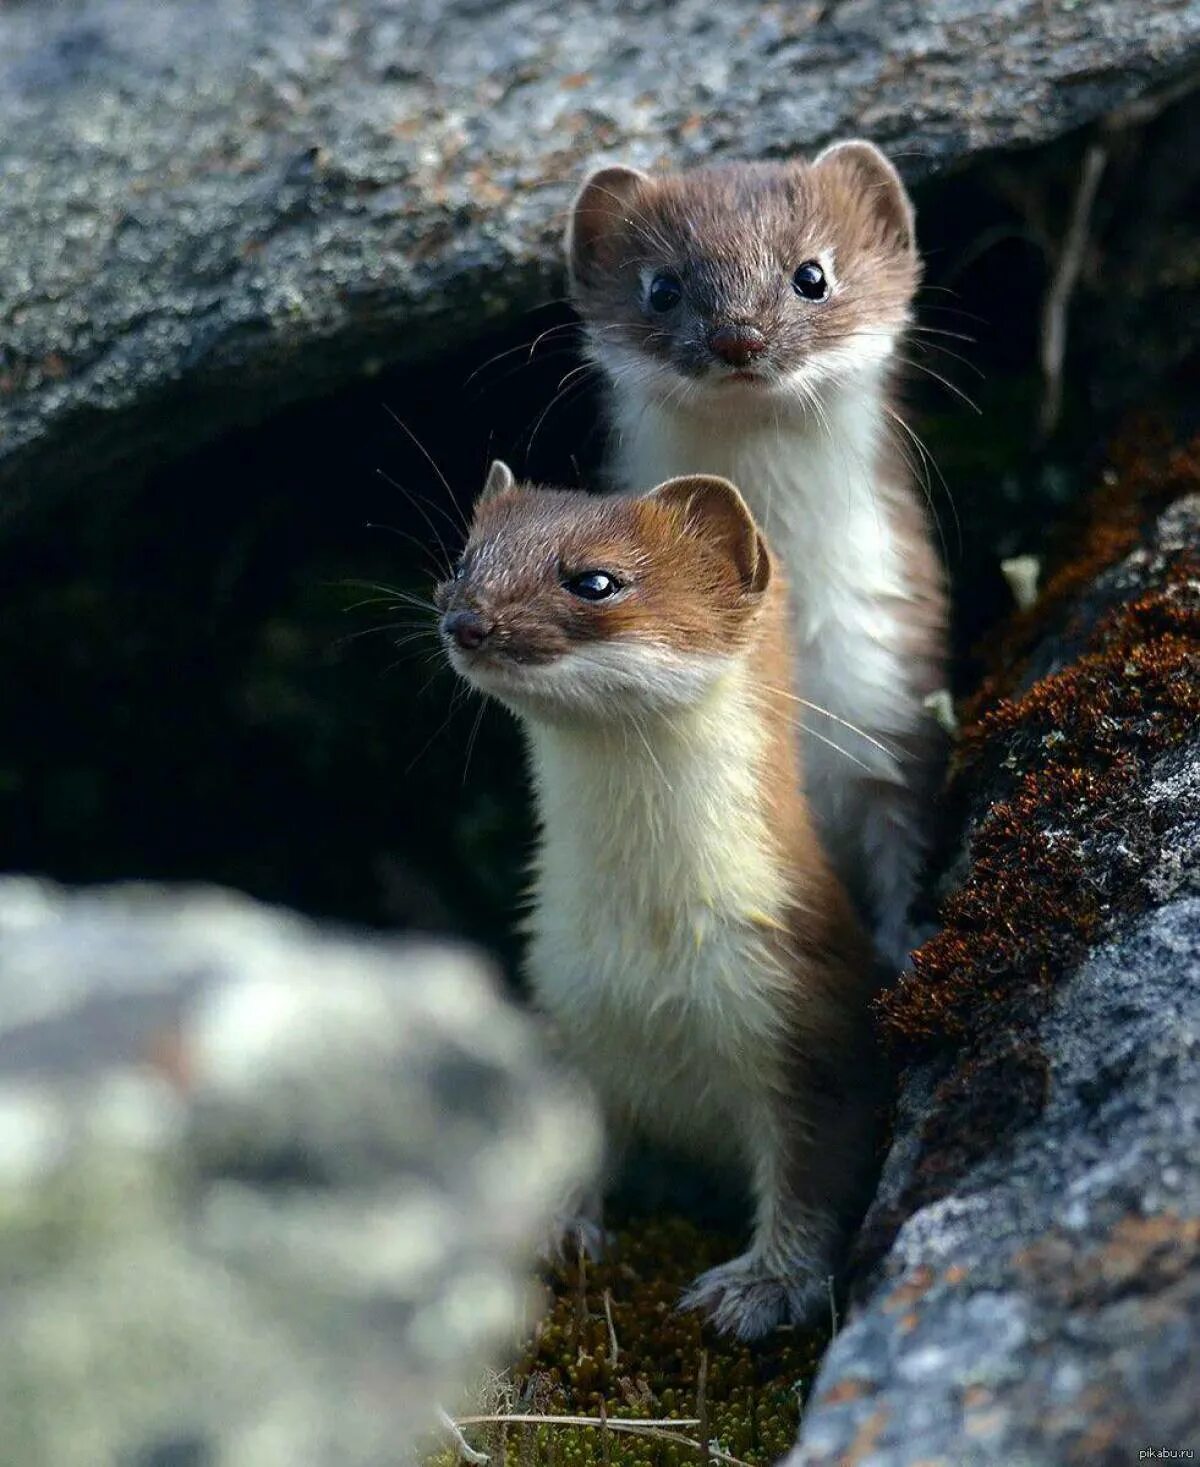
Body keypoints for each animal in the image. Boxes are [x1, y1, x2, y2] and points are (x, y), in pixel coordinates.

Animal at [434, 460, 874, 1343]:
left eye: (594, 579)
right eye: (464, 559)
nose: (467, 620)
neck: (647, 947)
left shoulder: (802, 1004)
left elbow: (816, 1171)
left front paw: (758, 1287)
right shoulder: (565, 1000)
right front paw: (556, 1230)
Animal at [566, 140, 950, 974]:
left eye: (812, 274)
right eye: (663, 287)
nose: (738, 336)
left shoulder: (889, 693)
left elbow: (905, 844)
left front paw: (902, 952)